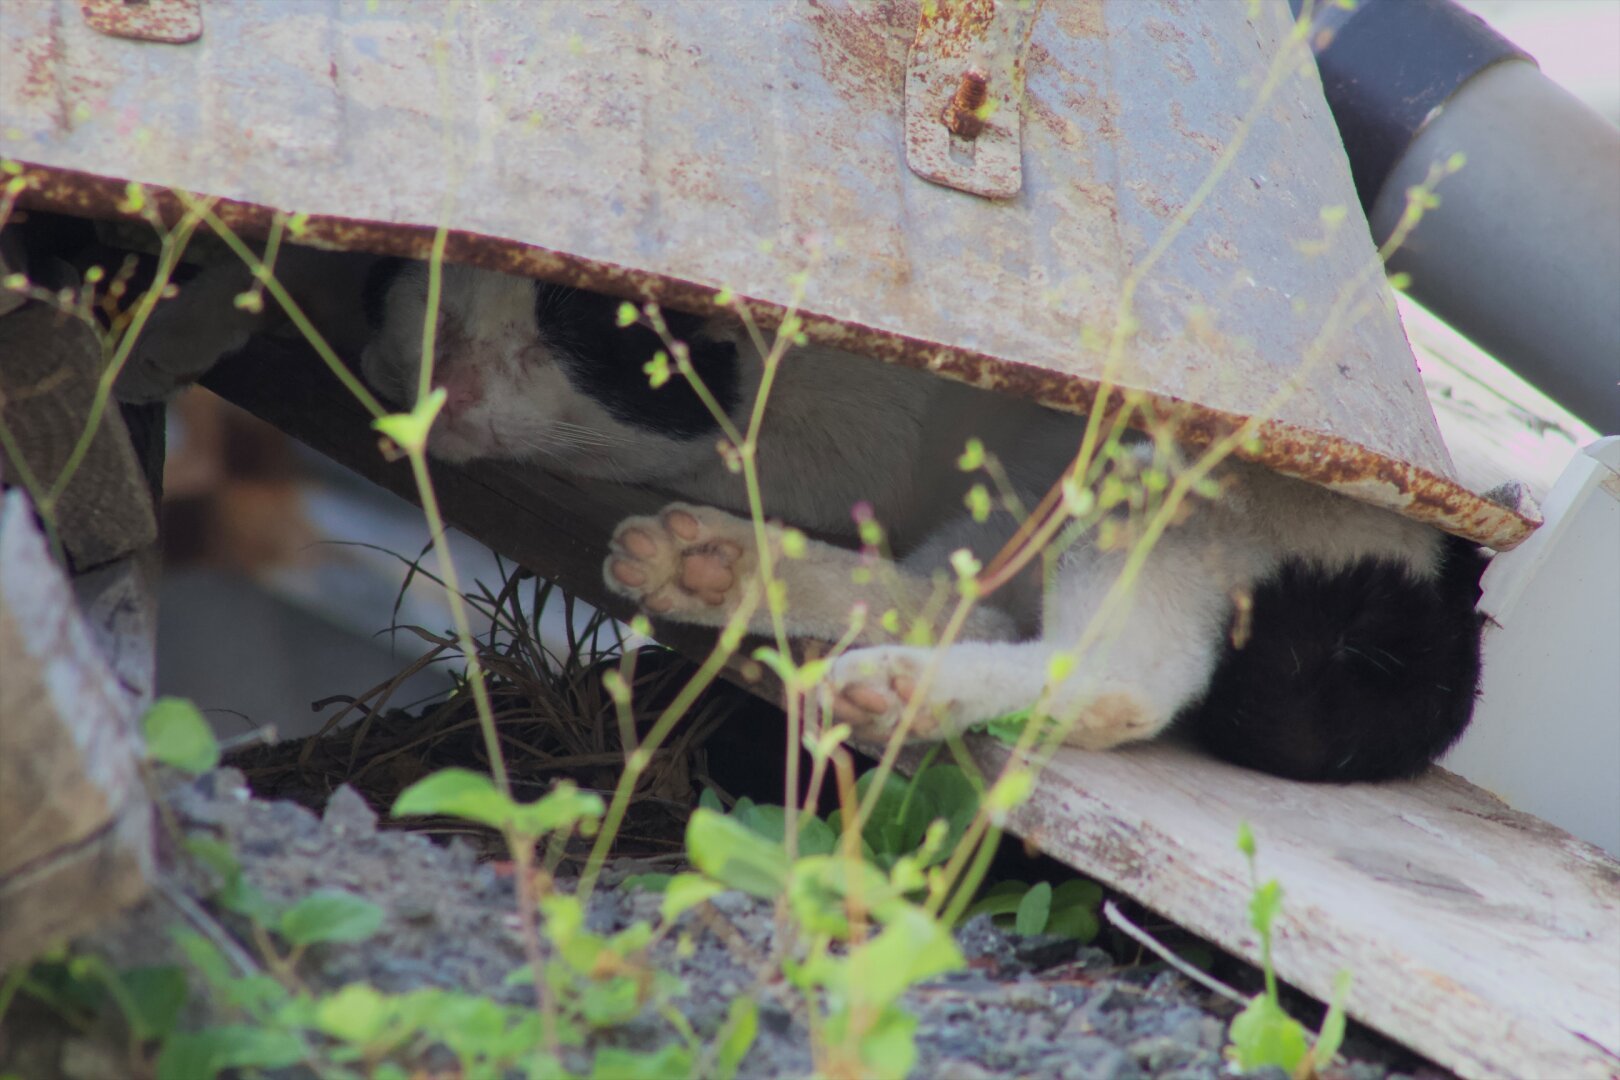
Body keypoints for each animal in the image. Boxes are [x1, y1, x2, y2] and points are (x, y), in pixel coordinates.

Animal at [132, 249, 1483, 780]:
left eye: (586, 328)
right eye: (429, 291)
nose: (446, 374)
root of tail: (1446, 625)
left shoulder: (822, 440)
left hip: (1153, 474)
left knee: (1117, 676)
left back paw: (885, 685)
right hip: (1020, 504)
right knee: (968, 607)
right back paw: (721, 576)